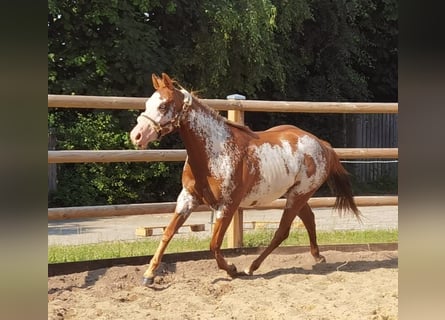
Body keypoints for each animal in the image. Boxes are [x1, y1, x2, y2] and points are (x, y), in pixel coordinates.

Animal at [129, 73, 360, 284]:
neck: (215, 153)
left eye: (163, 105)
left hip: (299, 195)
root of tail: (322, 145)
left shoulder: (228, 205)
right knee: (309, 219)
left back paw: (251, 267)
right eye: (148, 103)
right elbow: (168, 233)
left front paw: (232, 269)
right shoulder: (187, 198)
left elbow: (214, 244)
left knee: (282, 231)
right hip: (295, 194)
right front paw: (149, 274)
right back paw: (317, 256)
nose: (136, 136)